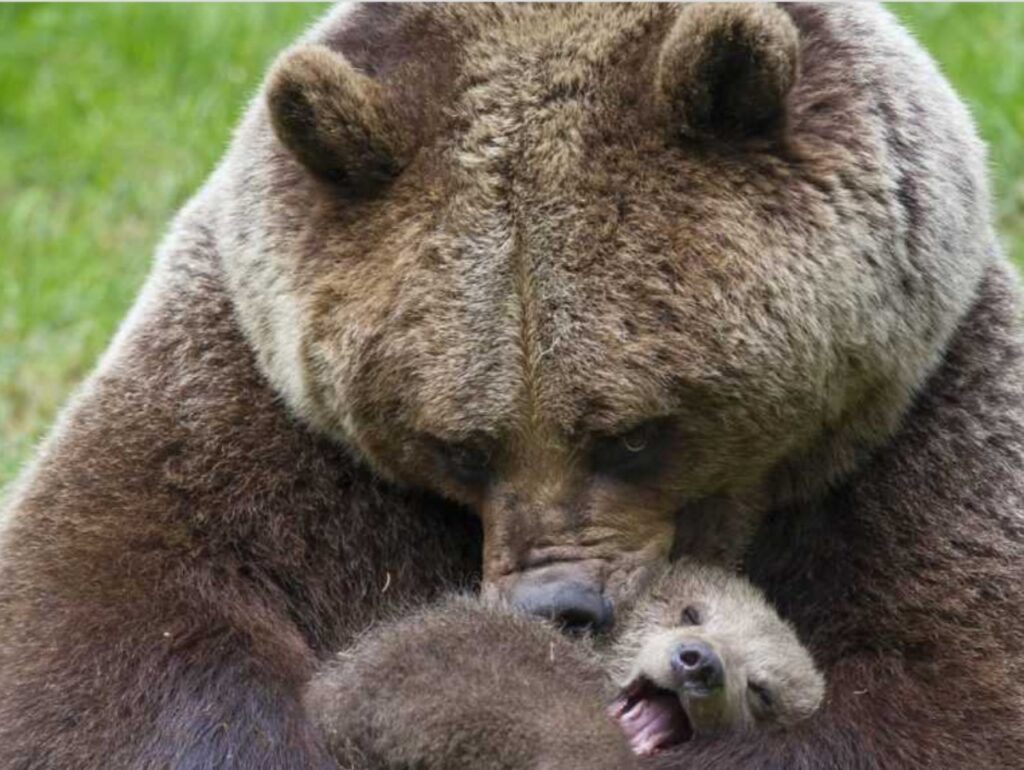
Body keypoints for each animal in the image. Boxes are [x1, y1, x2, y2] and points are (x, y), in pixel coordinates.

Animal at [2, 6, 1024, 770]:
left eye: (635, 433)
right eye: (456, 444)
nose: (556, 605)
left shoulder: (931, 423)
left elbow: (952, 686)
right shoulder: (250, 397)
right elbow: (107, 624)